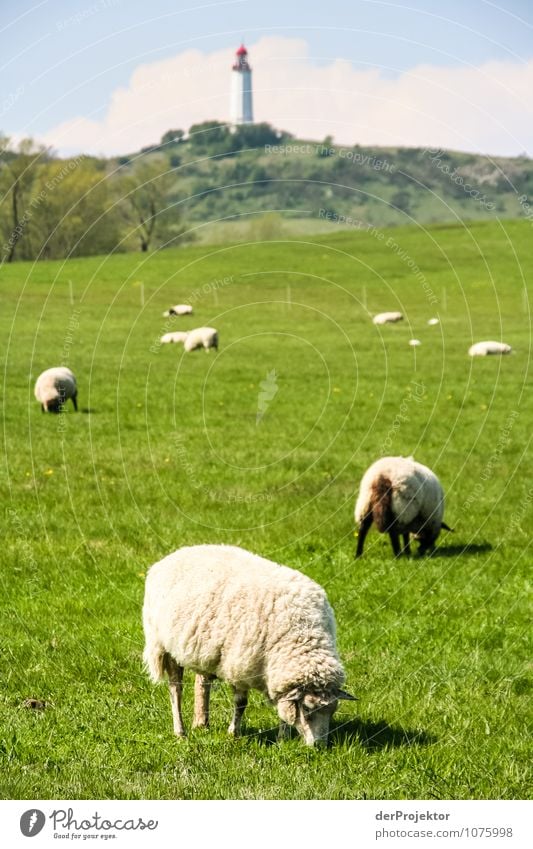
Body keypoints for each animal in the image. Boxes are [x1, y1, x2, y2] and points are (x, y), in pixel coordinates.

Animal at [143, 548, 356, 744]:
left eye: (332, 711)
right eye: (306, 708)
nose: (319, 747)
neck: (302, 634)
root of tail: (173, 555)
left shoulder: (275, 672)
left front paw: (282, 739)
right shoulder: (239, 665)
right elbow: (240, 703)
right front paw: (234, 734)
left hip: (203, 649)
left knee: (202, 682)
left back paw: (201, 723)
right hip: (165, 646)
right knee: (175, 690)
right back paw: (180, 732)